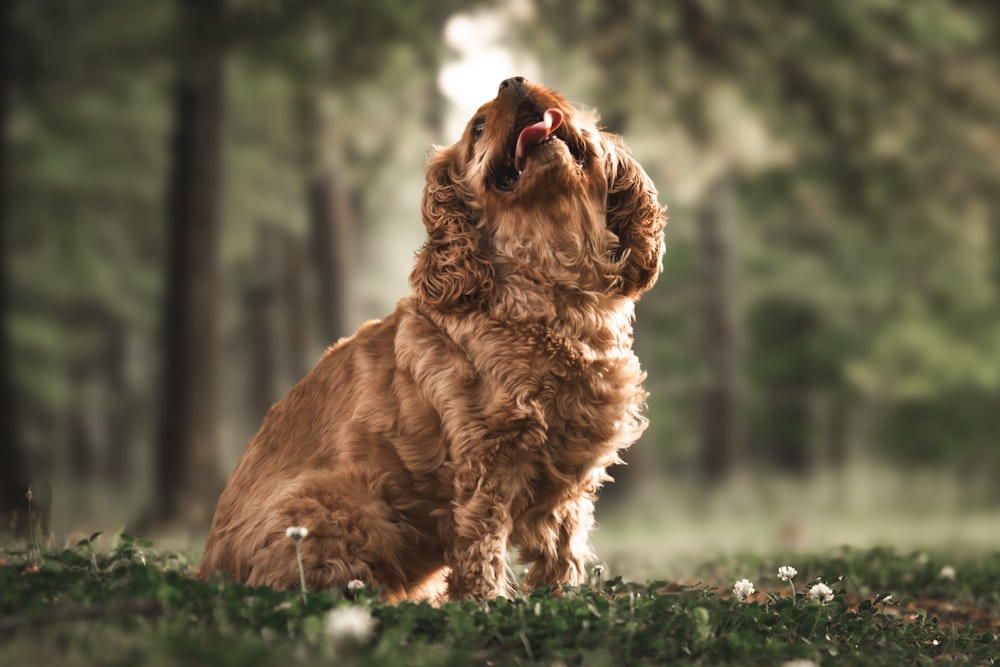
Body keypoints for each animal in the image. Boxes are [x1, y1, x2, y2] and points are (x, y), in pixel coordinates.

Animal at [197, 75, 664, 604]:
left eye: (561, 99)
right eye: (477, 127)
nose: (513, 81)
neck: (550, 285)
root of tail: (208, 569)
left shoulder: (568, 481)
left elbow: (561, 553)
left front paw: (561, 599)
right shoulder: (484, 465)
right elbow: (482, 552)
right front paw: (486, 606)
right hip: (343, 506)